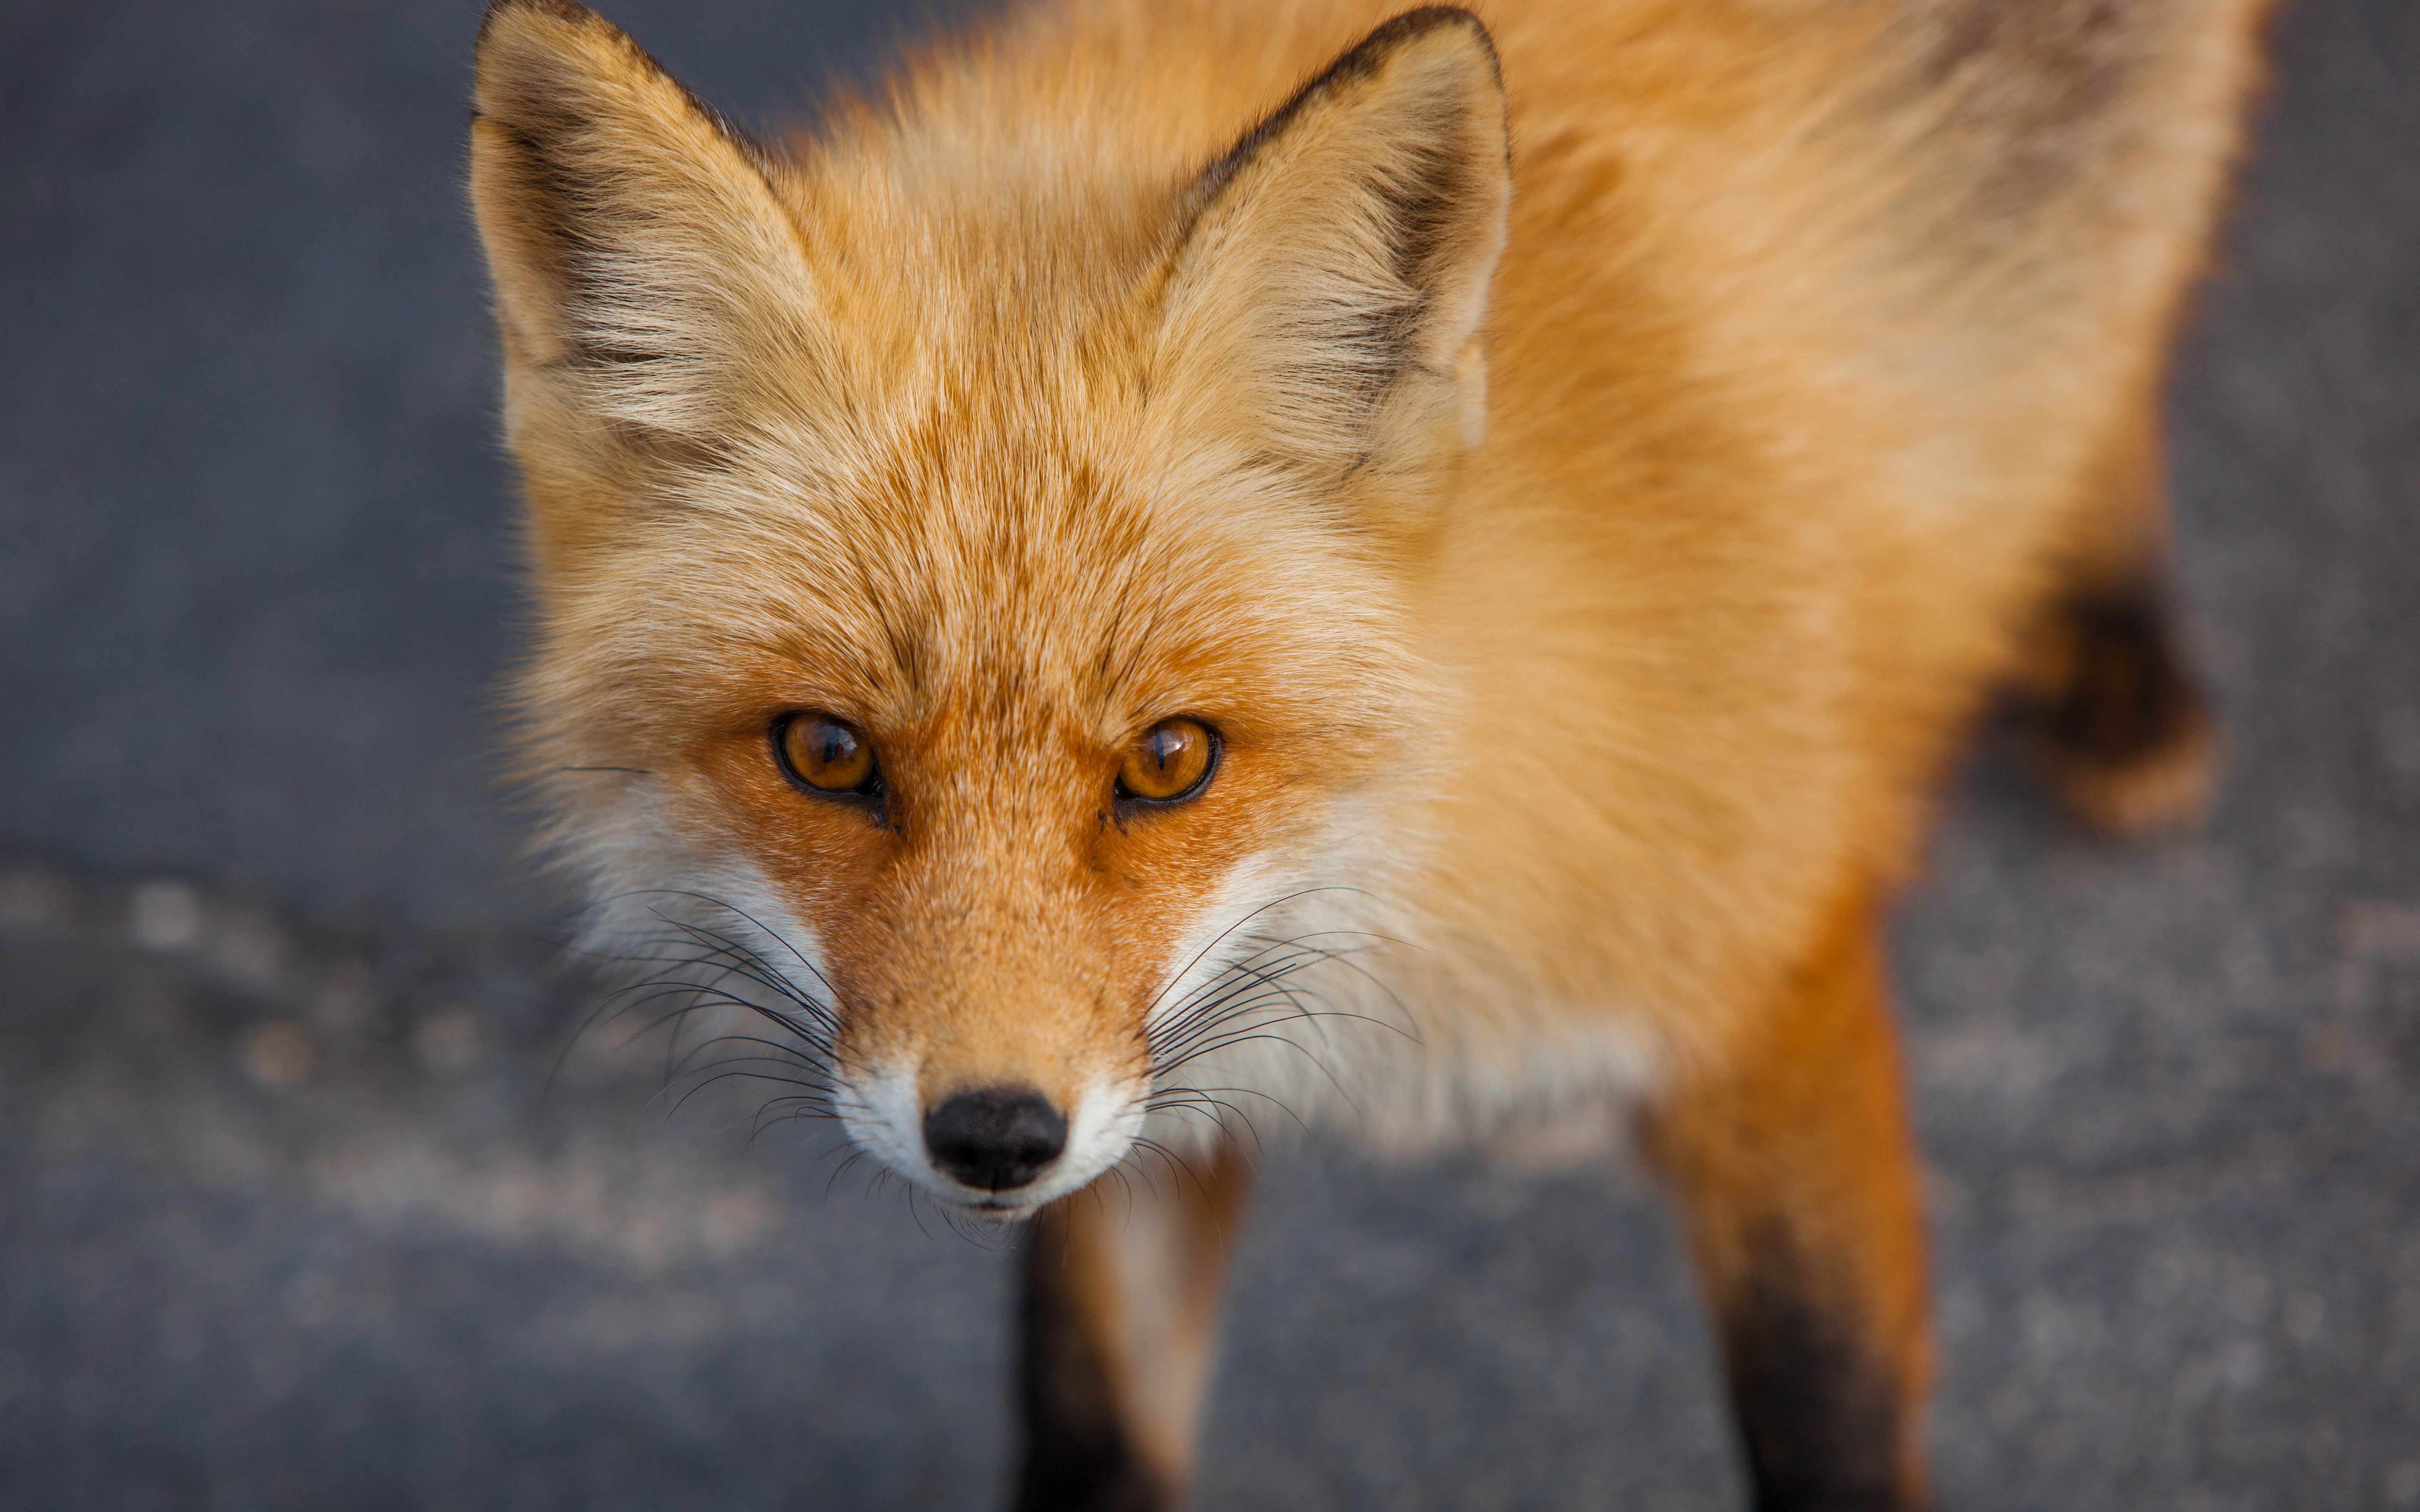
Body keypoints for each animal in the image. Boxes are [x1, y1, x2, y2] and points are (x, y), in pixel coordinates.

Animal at [467, 0, 2265, 1500]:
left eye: (1171, 758)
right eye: (827, 751)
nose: (990, 1133)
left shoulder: (1771, 981)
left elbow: (1825, 1418)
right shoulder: (1142, 1091)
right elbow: (1093, 1421)